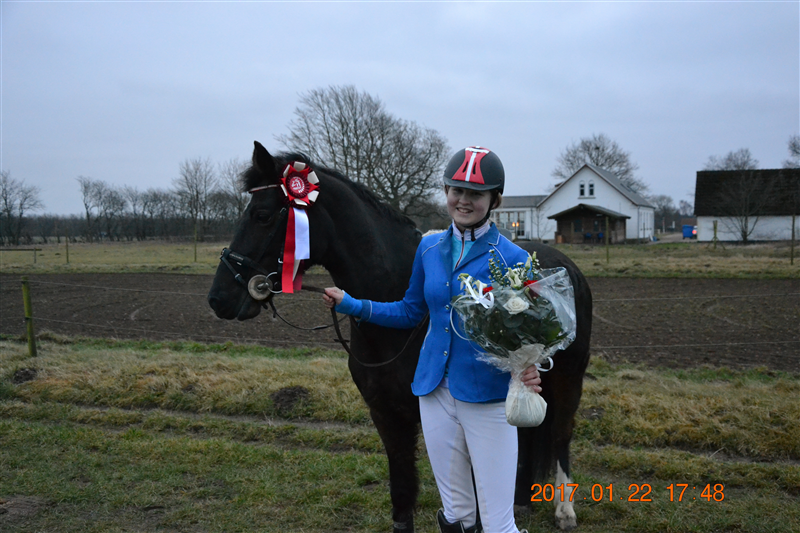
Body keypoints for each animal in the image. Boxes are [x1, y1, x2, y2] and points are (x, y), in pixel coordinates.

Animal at [209, 142, 592, 532]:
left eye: (262, 215)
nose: (219, 298)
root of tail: (567, 266)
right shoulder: (387, 413)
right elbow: (402, 494)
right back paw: (522, 499)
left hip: (567, 379)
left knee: (560, 433)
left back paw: (564, 510)